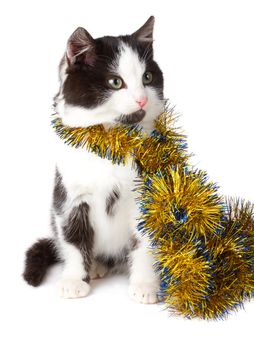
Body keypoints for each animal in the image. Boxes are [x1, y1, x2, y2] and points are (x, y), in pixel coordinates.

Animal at [23, 15, 165, 304]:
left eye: (147, 77)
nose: (142, 99)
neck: (111, 145)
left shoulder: (146, 195)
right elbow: (73, 239)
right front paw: (74, 281)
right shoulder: (69, 197)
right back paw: (96, 266)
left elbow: (145, 241)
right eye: (115, 82)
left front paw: (145, 285)